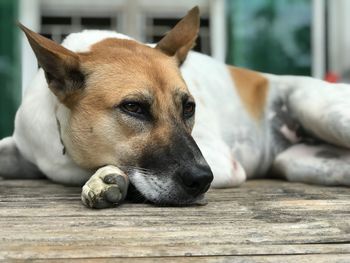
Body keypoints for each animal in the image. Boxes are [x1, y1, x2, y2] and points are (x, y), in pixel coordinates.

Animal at [0, 7, 350, 209]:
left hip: (322, 111)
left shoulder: (223, 161)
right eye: (133, 107)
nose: (202, 179)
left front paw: (104, 179)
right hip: (303, 162)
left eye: (189, 108)